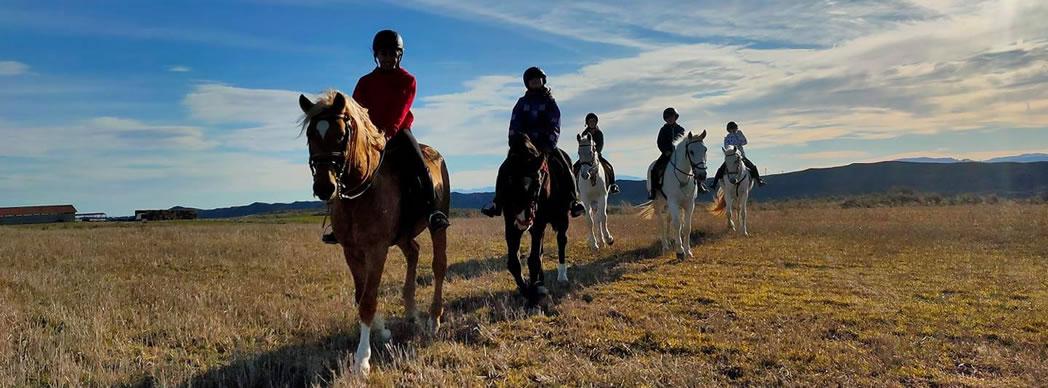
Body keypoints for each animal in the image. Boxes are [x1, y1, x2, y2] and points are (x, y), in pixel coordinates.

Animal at [301, 89, 452, 373]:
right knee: (413, 252)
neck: (361, 191)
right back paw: (411, 311)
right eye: (310, 135)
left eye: (341, 135)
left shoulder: (377, 250)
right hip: (403, 235)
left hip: (438, 225)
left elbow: (368, 301)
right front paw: (382, 332)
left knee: (439, 265)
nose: (325, 186)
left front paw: (362, 360)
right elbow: (360, 295)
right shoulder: (351, 250)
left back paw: (433, 319)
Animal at [498, 133, 574, 306]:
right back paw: (541, 280)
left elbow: (533, 260)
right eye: (508, 181)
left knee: (561, 240)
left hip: (562, 218)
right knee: (541, 251)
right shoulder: (510, 225)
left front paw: (533, 296)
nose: (523, 219)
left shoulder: (538, 224)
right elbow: (514, 263)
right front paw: (527, 289)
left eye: (538, 181)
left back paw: (562, 276)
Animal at [632, 130, 708, 261]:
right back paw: (665, 246)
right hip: (659, 203)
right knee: (661, 222)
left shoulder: (689, 204)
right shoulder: (673, 202)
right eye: (691, 151)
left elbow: (687, 227)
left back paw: (670, 242)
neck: (682, 177)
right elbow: (677, 224)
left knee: (668, 220)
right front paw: (680, 252)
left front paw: (688, 251)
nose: (702, 175)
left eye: (705, 150)